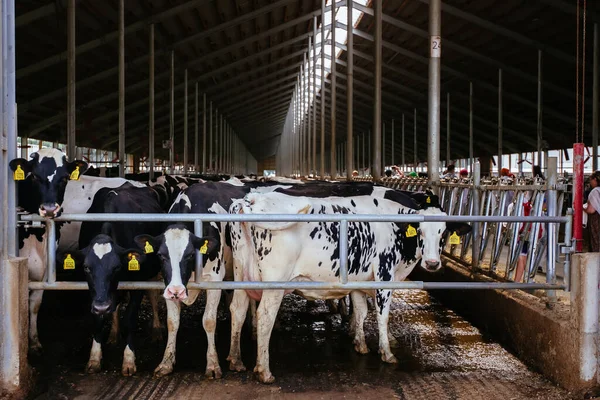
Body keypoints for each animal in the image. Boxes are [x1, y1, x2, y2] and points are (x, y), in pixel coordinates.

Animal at [62, 183, 165, 376]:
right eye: (86, 267)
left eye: (117, 267)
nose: (102, 306)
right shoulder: (95, 292)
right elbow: (98, 320)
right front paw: (94, 358)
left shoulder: (138, 282)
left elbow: (130, 319)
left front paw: (129, 360)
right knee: (116, 305)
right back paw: (113, 333)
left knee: (153, 295)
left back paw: (156, 330)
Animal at [227, 189, 472, 382]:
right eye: (420, 231)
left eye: (443, 232)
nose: (432, 263)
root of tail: (252, 199)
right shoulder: (384, 274)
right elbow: (382, 315)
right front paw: (386, 352)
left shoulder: (358, 280)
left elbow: (361, 311)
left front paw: (360, 344)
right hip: (274, 282)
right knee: (265, 317)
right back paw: (264, 370)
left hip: (240, 272)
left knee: (237, 310)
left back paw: (235, 359)